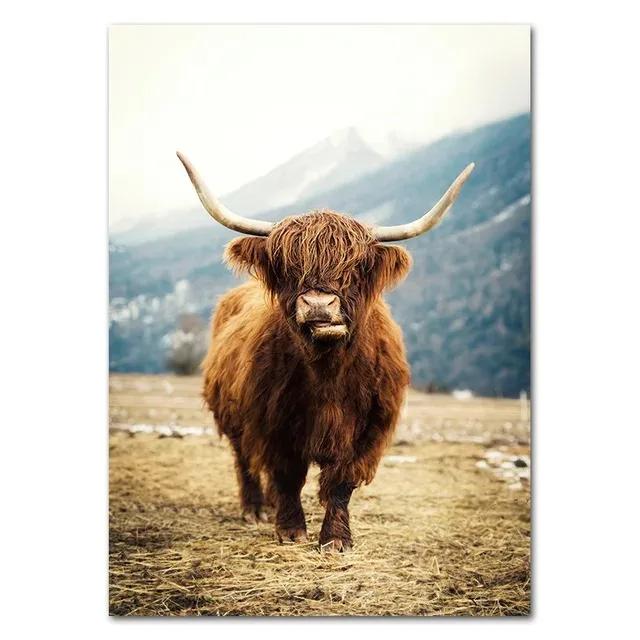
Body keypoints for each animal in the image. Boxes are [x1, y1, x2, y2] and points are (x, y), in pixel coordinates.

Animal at [177, 151, 474, 551]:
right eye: (287, 266)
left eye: (356, 266)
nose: (319, 305)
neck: (328, 373)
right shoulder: (273, 422)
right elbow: (286, 475)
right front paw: (290, 531)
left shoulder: (368, 430)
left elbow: (340, 483)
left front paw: (335, 539)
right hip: (233, 415)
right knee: (245, 460)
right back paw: (256, 509)